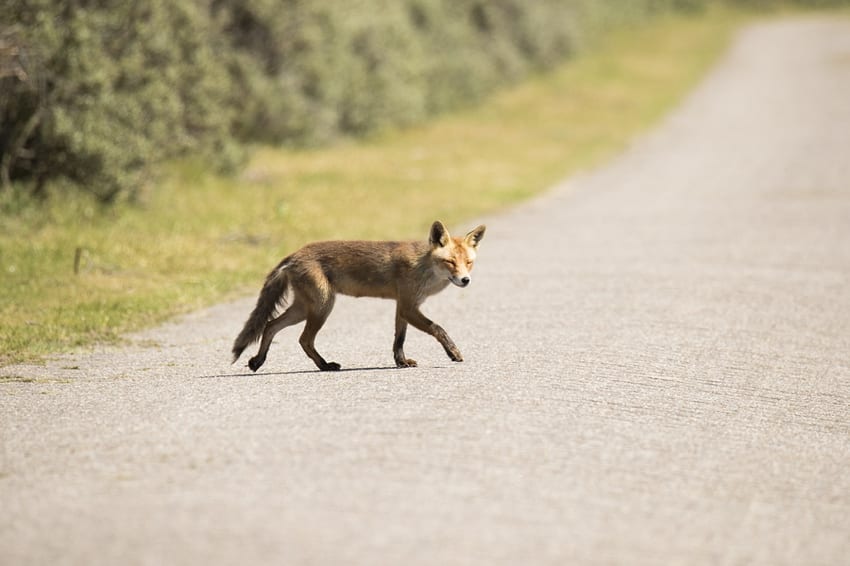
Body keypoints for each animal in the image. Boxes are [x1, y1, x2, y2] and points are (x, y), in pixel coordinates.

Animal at [232, 221, 484, 372]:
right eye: (450, 262)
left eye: (469, 262)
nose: (465, 280)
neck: (423, 267)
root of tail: (294, 254)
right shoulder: (409, 306)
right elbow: (438, 328)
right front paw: (453, 352)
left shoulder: (402, 306)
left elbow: (399, 339)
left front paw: (401, 362)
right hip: (322, 306)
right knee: (303, 339)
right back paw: (324, 365)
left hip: (304, 308)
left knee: (270, 326)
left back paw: (258, 361)